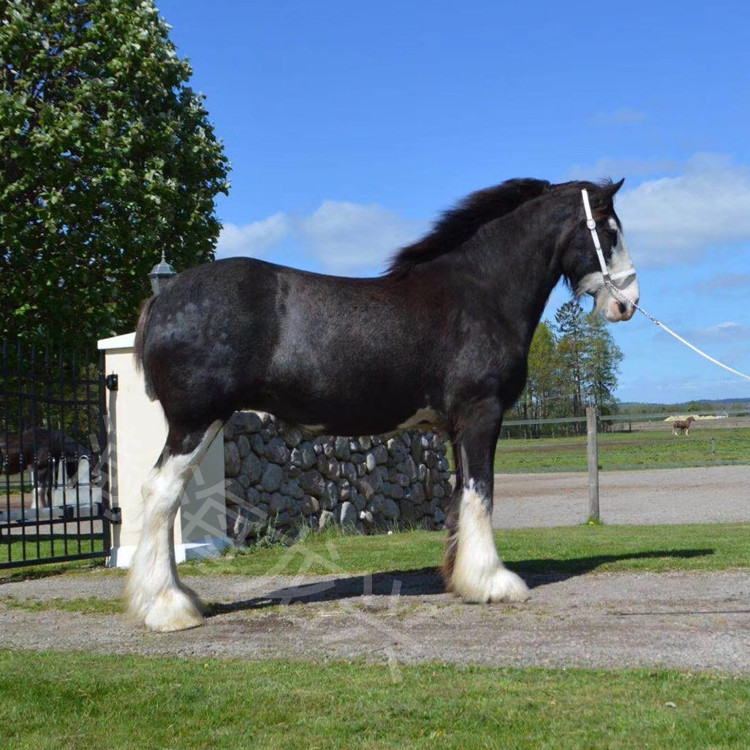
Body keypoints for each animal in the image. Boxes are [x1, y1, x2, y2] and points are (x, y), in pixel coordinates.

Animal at [128, 179, 640, 632]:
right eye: (610, 231)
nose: (629, 304)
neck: (479, 293)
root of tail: (164, 299)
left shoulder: (455, 427)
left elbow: (460, 497)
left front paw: (461, 580)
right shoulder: (482, 414)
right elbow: (482, 493)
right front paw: (493, 582)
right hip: (195, 421)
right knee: (161, 494)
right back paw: (169, 608)